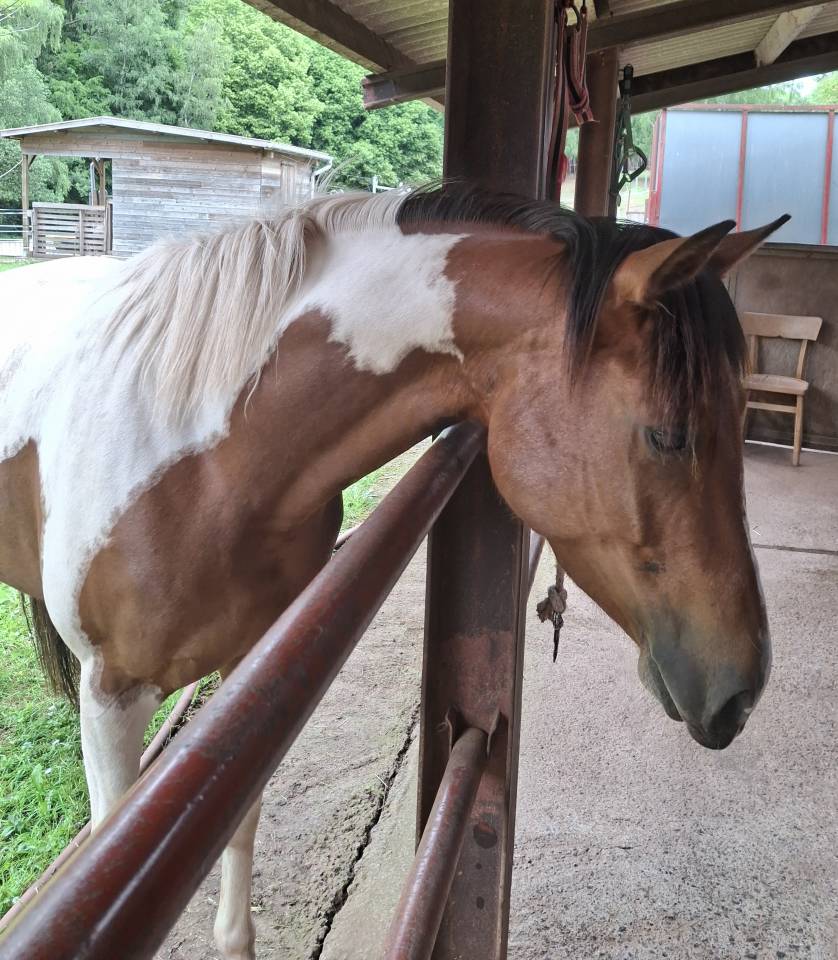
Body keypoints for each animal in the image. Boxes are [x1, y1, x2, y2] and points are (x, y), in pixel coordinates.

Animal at [0, 184, 783, 958]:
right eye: (668, 435)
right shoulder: (111, 699)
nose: (741, 694)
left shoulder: (250, 672)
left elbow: (239, 825)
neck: (200, 454)